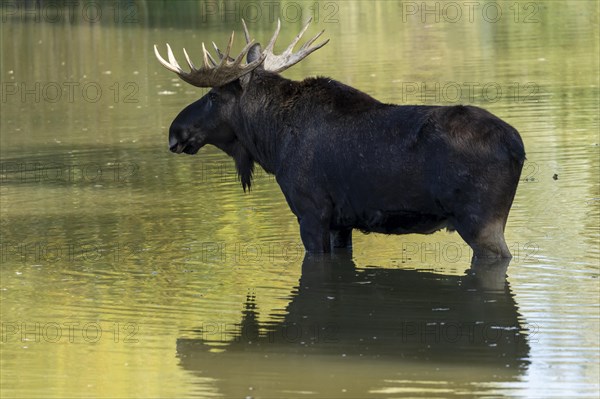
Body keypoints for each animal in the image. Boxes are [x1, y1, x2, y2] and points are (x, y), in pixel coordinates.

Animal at [156, 19, 524, 260]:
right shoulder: (341, 223)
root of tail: (518, 148)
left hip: (481, 223)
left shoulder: (311, 211)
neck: (271, 144)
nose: (175, 132)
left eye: (213, 96)